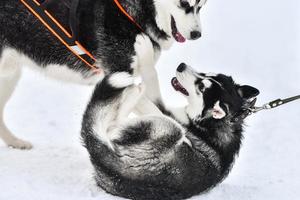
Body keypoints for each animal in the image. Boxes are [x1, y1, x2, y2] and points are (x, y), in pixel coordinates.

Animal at [0, 0, 206, 148]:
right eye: (184, 3)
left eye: (201, 5)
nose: (197, 35)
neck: (130, 15)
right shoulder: (120, 76)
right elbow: (157, 111)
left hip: (9, 76)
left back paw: (14, 142)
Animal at [81, 63, 258, 200]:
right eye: (207, 73)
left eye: (201, 87)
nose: (181, 65)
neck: (211, 123)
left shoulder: (169, 116)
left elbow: (151, 88)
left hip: (170, 128)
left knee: (111, 125)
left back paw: (134, 92)